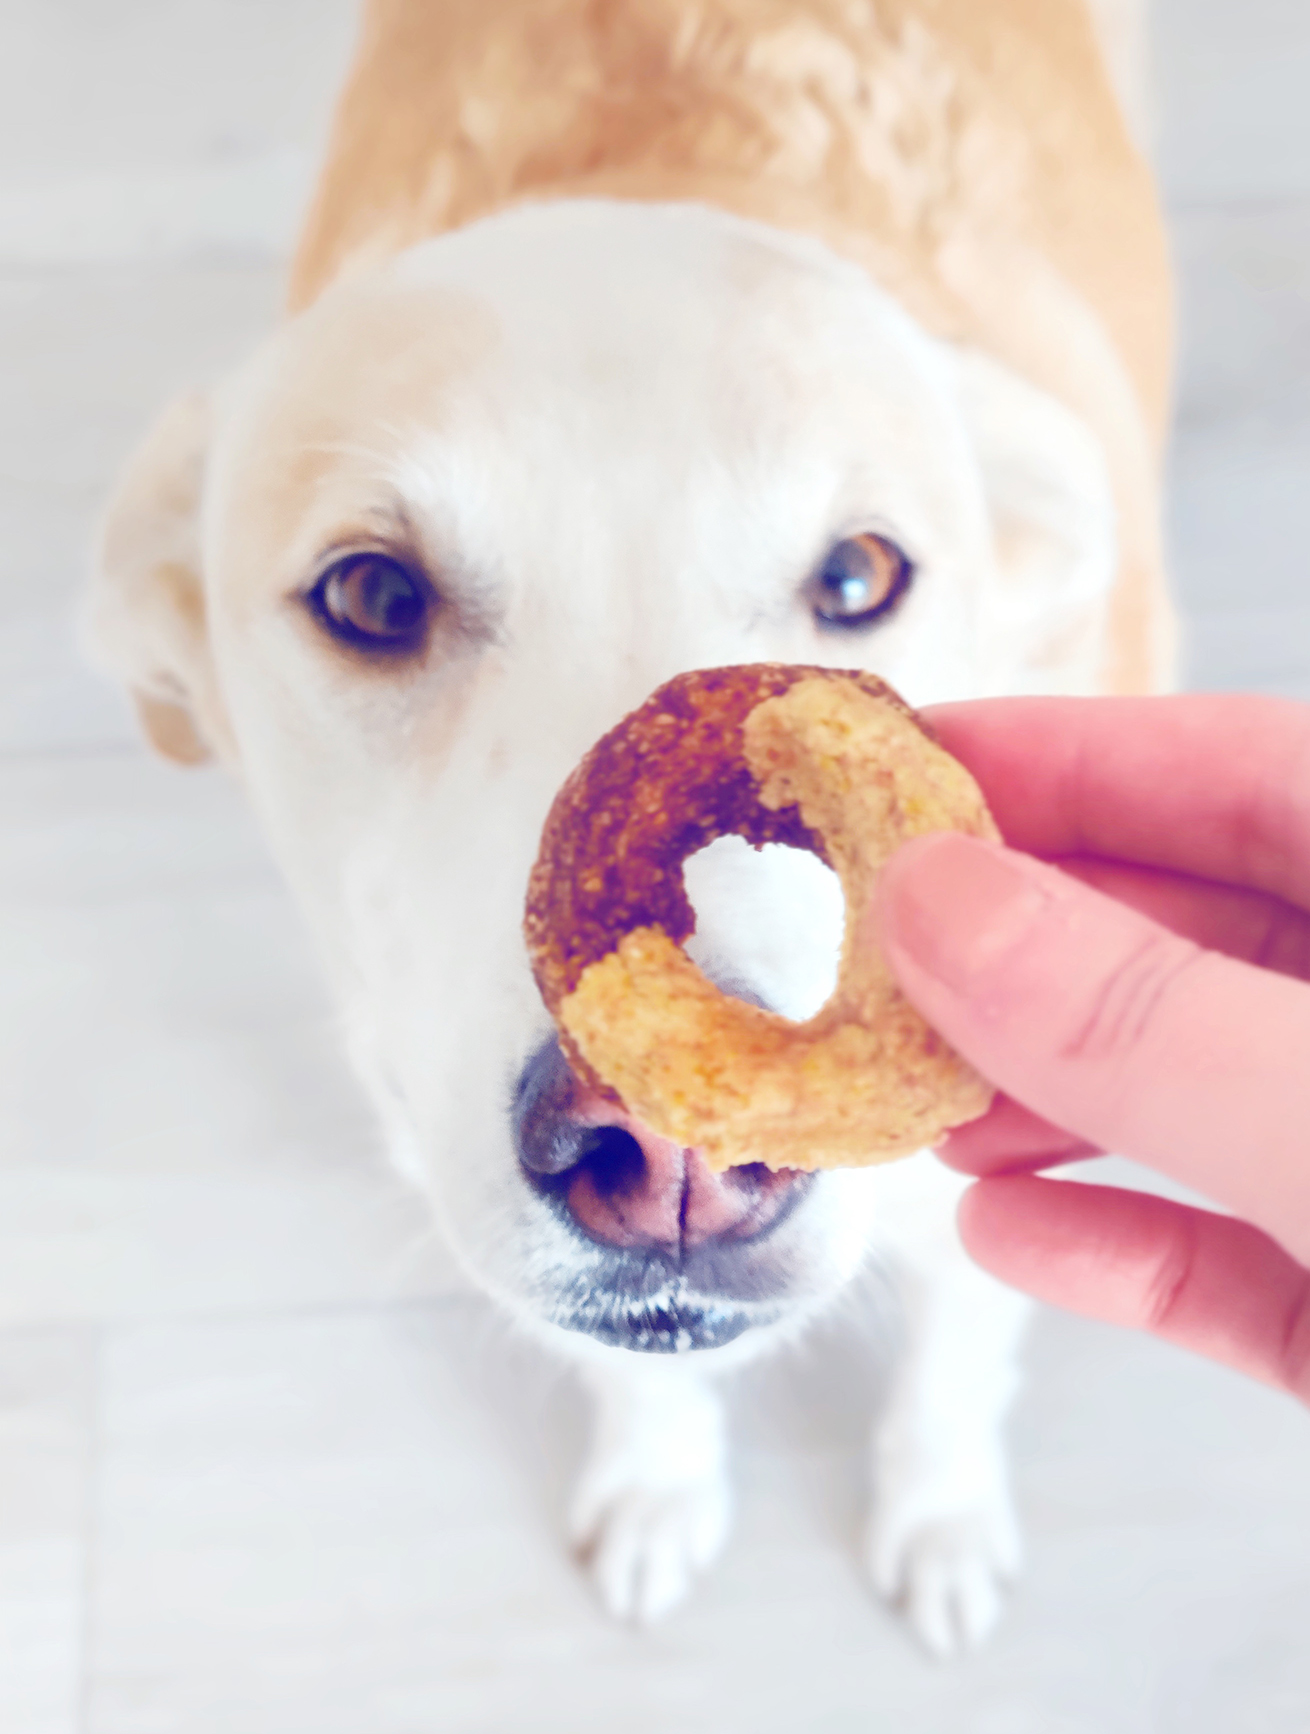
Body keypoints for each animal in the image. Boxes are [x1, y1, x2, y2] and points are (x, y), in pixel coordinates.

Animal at [84, 0, 1165, 1650]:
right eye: (371, 595)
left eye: (857, 575)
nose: (675, 1160)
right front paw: (659, 1486)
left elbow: (950, 1361)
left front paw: (937, 1519)